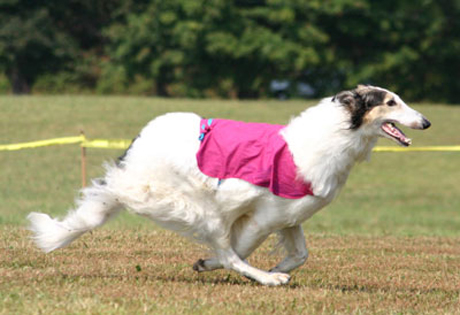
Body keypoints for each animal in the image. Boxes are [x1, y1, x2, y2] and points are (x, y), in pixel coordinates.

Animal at [27, 86, 432, 286]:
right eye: (391, 101)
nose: (426, 122)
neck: (326, 139)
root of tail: (138, 143)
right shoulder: (261, 215)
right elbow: (238, 251)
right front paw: (220, 265)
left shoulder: (291, 214)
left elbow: (300, 254)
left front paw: (279, 263)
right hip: (200, 206)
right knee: (229, 251)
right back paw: (269, 280)